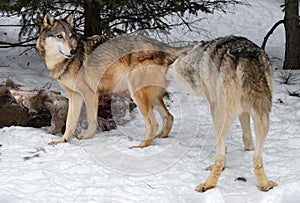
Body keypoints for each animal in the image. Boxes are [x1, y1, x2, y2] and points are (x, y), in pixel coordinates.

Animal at [35, 13, 190, 148]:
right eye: (59, 36)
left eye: (71, 36)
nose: (72, 51)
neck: (65, 62)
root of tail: (162, 46)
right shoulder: (75, 95)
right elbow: (69, 123)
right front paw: (63, 141)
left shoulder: (90, 94)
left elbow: (91, 120)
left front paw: (86, 137)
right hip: (153, 96)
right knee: (169, 117)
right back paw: (160, 137)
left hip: (138, 95)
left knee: (153, 124)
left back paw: (140, 147)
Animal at [166, 36, 276, 192]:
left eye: (172, 63)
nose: (165, 69)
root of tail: (246, 56)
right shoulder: (244, 111)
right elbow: (247, 136)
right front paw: (248, 148)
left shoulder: (213, 105)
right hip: (263, 117)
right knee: (257, 158)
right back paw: (265, 185)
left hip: (220, 117)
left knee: (221, 156)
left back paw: (208, 184)